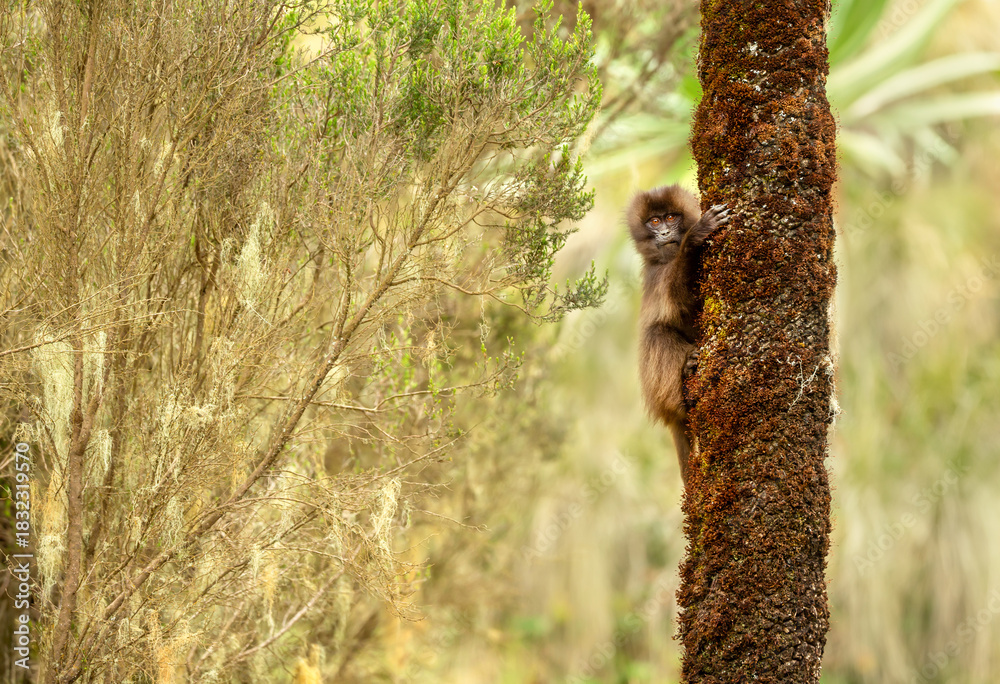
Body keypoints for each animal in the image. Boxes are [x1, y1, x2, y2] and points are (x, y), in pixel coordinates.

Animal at [626, 185, 730, 485]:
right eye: (654, 221)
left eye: (671, 218)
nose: (663, 233)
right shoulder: (657, 274)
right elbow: (679, 300)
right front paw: (695, 237)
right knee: (656, 333)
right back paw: (686, 383)